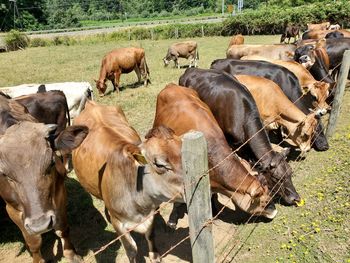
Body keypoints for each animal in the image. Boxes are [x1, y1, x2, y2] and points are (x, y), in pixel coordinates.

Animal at [0, 94, 87, 262]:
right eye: (4, 174)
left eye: (51, 162)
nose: (40, 225)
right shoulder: (12, 209)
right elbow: (33, 241)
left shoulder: (60, 193)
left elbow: (62, 228)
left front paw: (71, 254)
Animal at [72, 101, 185, 263]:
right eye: (159, 164)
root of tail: (91, 104)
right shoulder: (118, 223)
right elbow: (131, 249)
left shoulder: (150, 213)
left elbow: (150, 235)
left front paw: (155, 256)